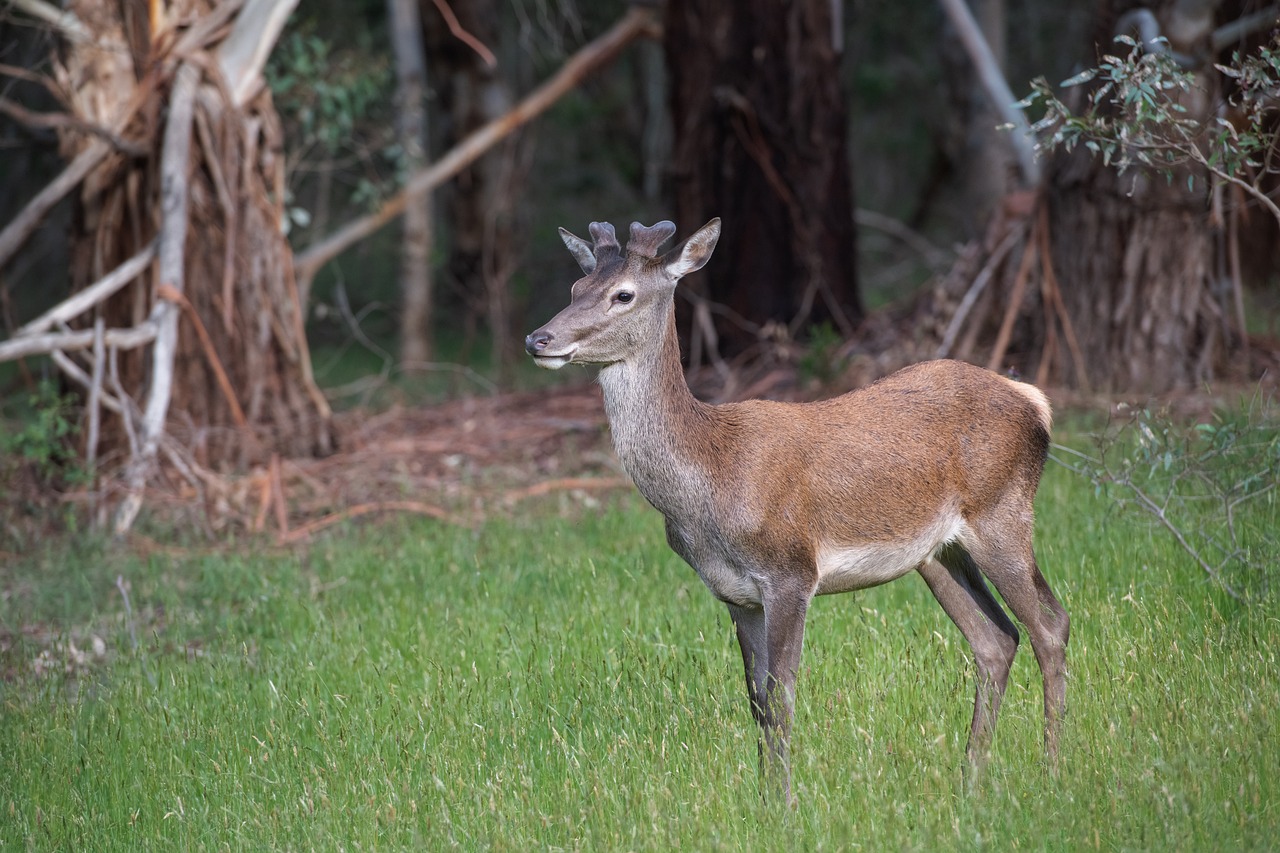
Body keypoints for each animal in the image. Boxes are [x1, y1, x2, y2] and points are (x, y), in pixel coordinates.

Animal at [519, 217, 1070, 799]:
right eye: (576, 287)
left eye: (622, 294)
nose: (538, 339)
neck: (709, 480)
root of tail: (1035, 401)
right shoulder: (735, 594)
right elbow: (756, 698)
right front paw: (763, 797)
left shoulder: (790, 571)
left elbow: (782, 692)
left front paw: (784, 801)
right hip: (937, 553)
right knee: (996, 641)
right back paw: (971, 780)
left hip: (1002, 513)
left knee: (1050, 627)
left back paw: (1052, 770)